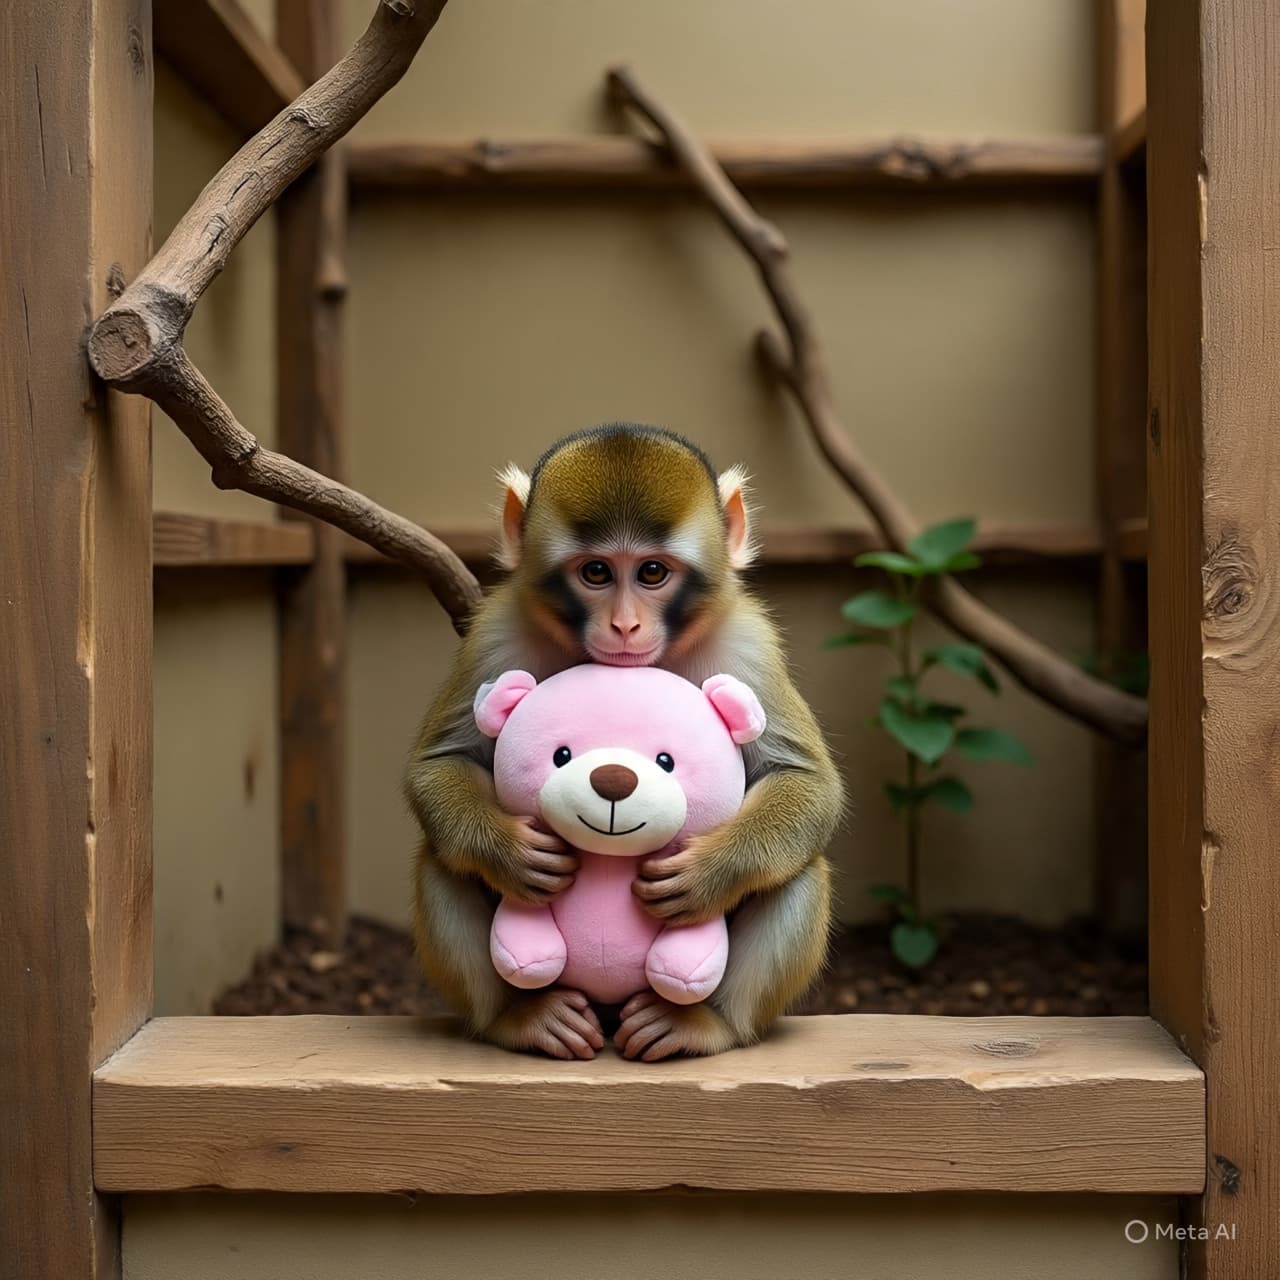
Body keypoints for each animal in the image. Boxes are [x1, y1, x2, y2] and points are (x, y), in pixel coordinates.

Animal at [406, 424, 844, 1061]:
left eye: (652, 573)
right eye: (596, 573)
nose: (625, 625)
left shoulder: (748, 645)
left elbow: (810, 785)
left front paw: (709, 872)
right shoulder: (496, 633)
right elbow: (438, 763)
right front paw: (508, 852)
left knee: (800, 871)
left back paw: (703, 1024)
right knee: (441, 859)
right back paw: (518, 1017)